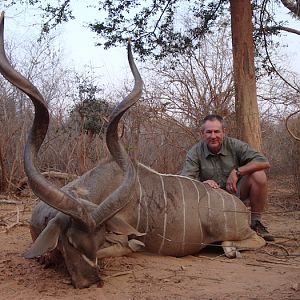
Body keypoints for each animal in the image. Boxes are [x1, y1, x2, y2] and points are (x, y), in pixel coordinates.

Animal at [0, 12, 264, 288]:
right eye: (70, 241)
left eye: (96, 240)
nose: (91, 282)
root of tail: (239, 207)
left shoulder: (122, 240)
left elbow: (128, 245)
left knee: (254, 240)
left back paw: (231, 247)